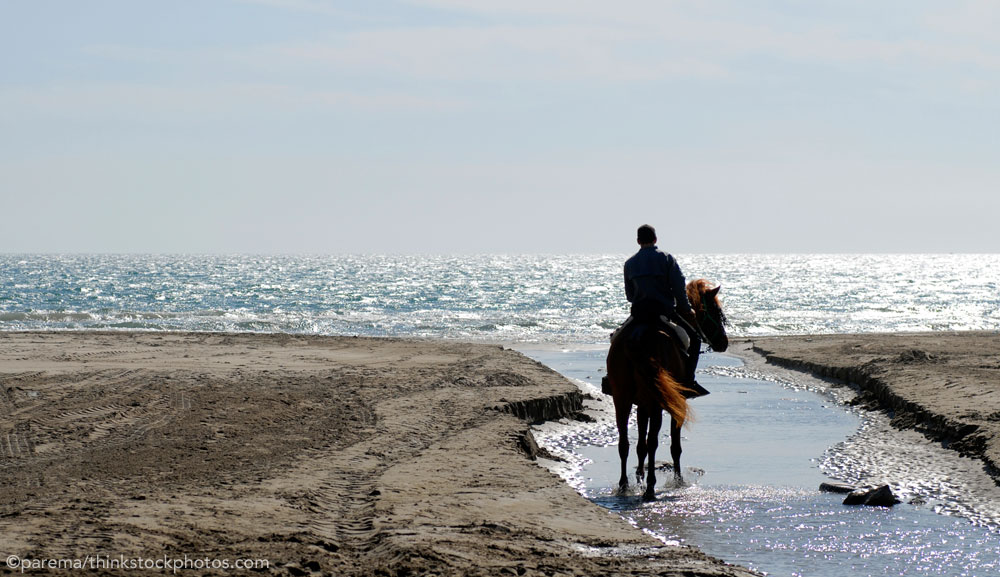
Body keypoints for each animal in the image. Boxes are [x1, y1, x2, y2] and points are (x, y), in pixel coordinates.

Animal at [604, 280, 732, 500]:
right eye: (716, 311)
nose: (723, 342)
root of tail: (639, 335)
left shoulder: (642, 405)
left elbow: (640, 445)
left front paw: (639, 476)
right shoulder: (676, 402)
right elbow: (674, 446)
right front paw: (678, 480)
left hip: (621, 399)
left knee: (624, 443)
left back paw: (624, 486)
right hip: (656, 402)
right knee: (653, 442)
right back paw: (650, 488)